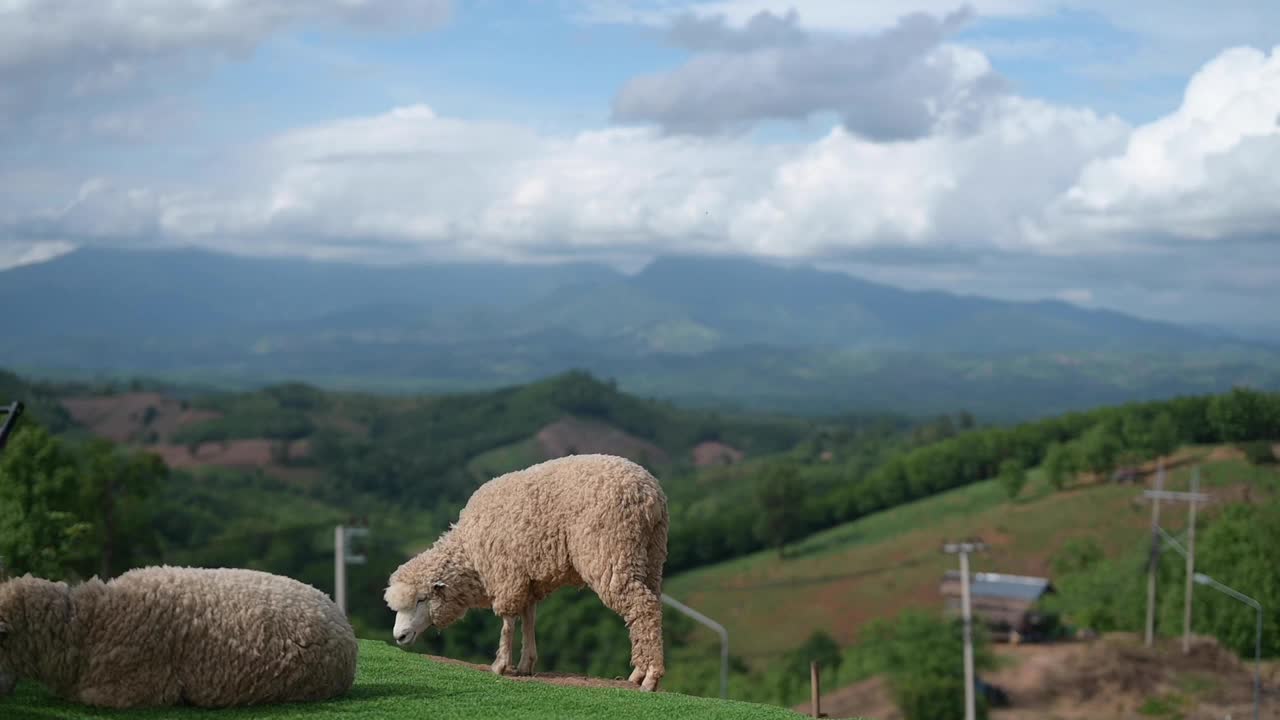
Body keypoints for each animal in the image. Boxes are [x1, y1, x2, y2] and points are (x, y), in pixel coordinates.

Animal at [384, 453, 670, 691]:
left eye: (421, 599)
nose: (399, 636)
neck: (469, 552)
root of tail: (650, 493)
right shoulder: (527, 577)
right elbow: (528, 618)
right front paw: (526, 664)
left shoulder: (506, 574)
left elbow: (508, 622)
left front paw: (500, 665)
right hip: (651, 556)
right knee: (651, 609)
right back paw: (639, 672)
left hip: (611, 553)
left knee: (642, 606)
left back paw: (651, 677)